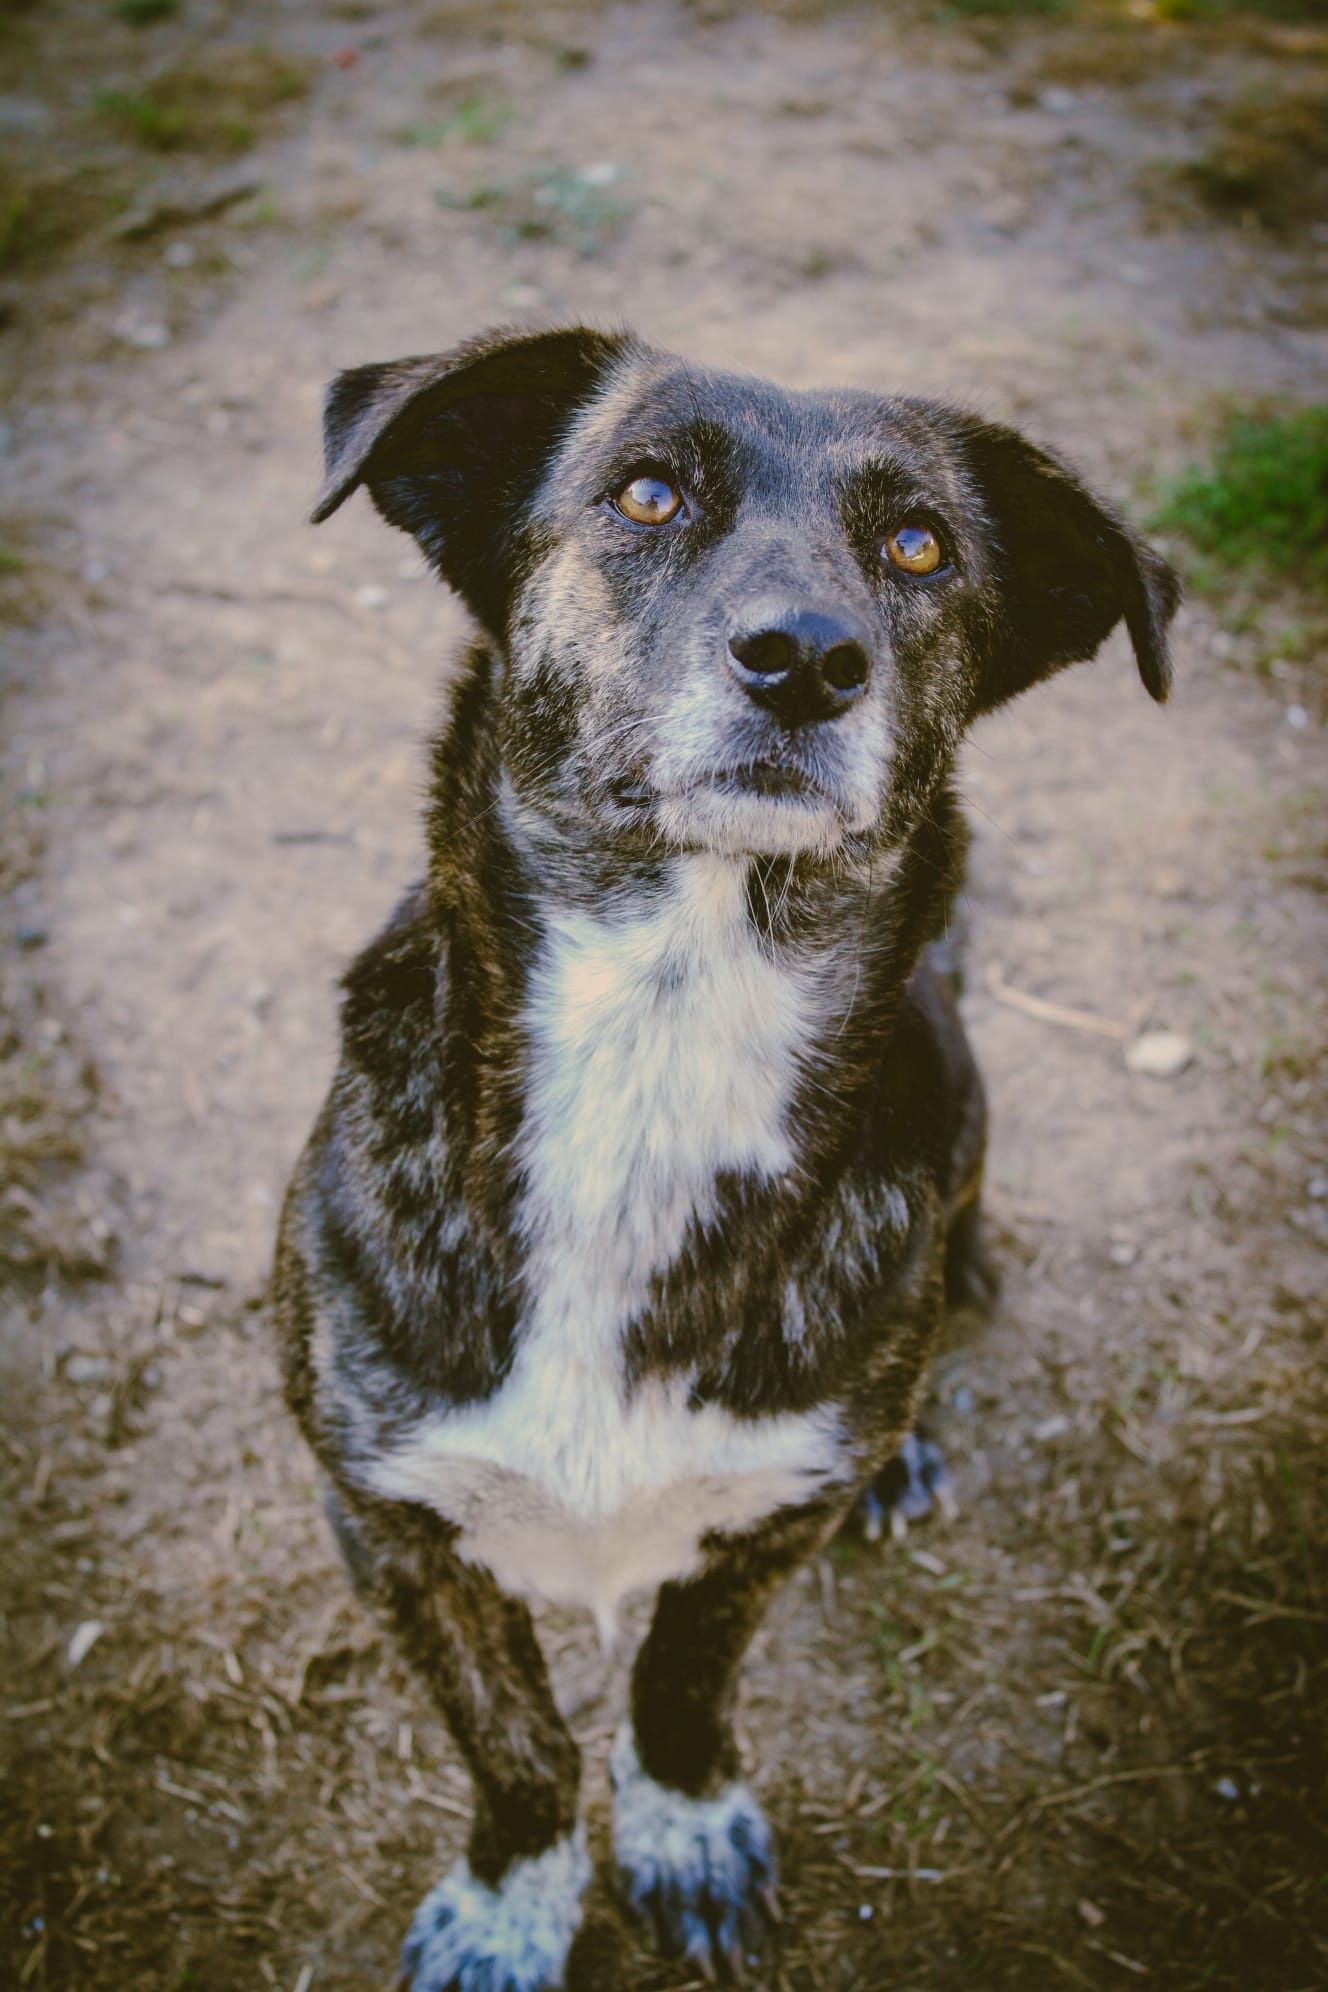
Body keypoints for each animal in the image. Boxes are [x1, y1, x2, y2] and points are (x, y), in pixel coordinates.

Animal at [266, 318, 1170, 1984]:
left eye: (920, 545)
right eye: (645, 492)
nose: (806, 658)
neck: (665, 1033)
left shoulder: (760, 1529)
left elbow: (680, 1683)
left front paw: (682, 1830)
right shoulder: (386, 1521)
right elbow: (516, 1742)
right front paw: (512, 1902)